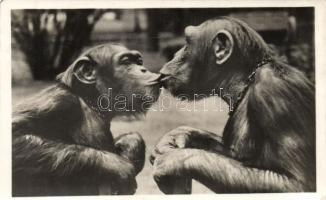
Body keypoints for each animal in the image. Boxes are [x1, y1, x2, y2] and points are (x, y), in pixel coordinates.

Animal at [13, 43, 162, 195]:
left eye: (139, 62)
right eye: (126, 62)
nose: (143, 69)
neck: (89, 101)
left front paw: (130, 143)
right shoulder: (59, 101)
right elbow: (16, 133)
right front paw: (118, 165)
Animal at [151, 16, 316, 192]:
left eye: (187, 43)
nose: (174, 54)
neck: (246, 81)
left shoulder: (278, 93)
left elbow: (293, 182)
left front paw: (172, 160)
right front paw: (179, 135)